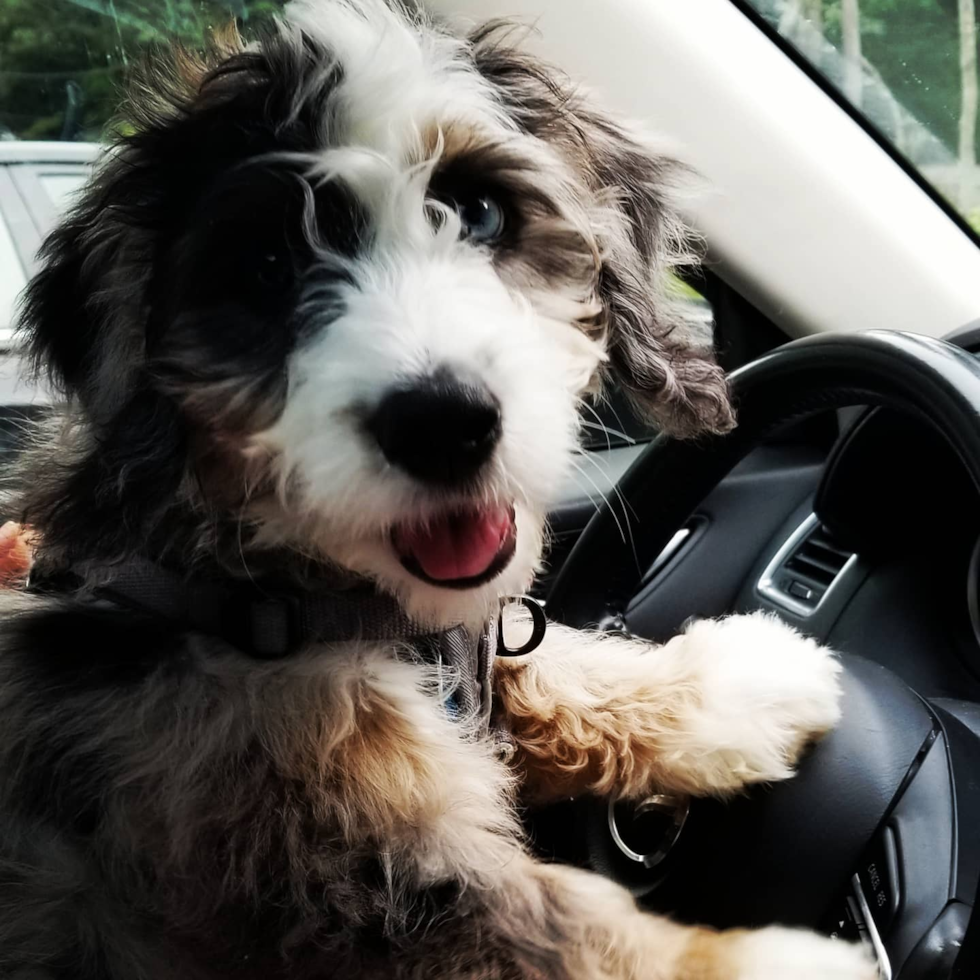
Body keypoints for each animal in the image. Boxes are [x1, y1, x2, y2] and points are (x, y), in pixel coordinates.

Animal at [0, 1, 872, 980]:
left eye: (480, 212)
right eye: (266, 265)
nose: (443, 424)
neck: (266, 606)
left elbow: (555, 668)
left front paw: (743, 682)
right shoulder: (356, 880)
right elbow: (562, 931)